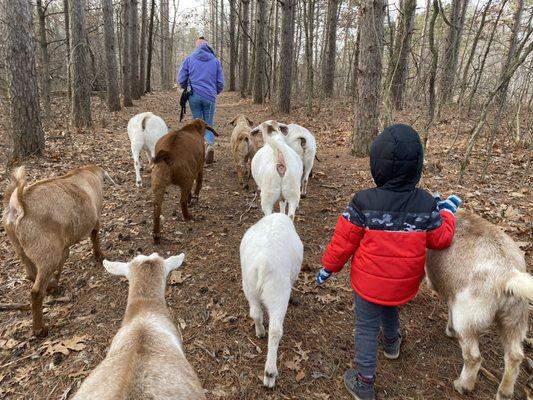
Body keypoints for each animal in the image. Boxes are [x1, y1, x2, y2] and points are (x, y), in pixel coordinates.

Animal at [239, 214, 302, 390]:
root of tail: (263, 262)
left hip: (249, 285)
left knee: (255, 313)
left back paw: (260, 332)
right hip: (278, 291)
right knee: (275, 331)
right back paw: (270, 374)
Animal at [424, 211, 532, 398]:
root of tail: (507, 274)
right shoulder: (453, 297)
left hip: (466, 321)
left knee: (473, 358)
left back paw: (463, 386)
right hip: (514, 321)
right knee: (514, 356)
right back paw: (504, 393)